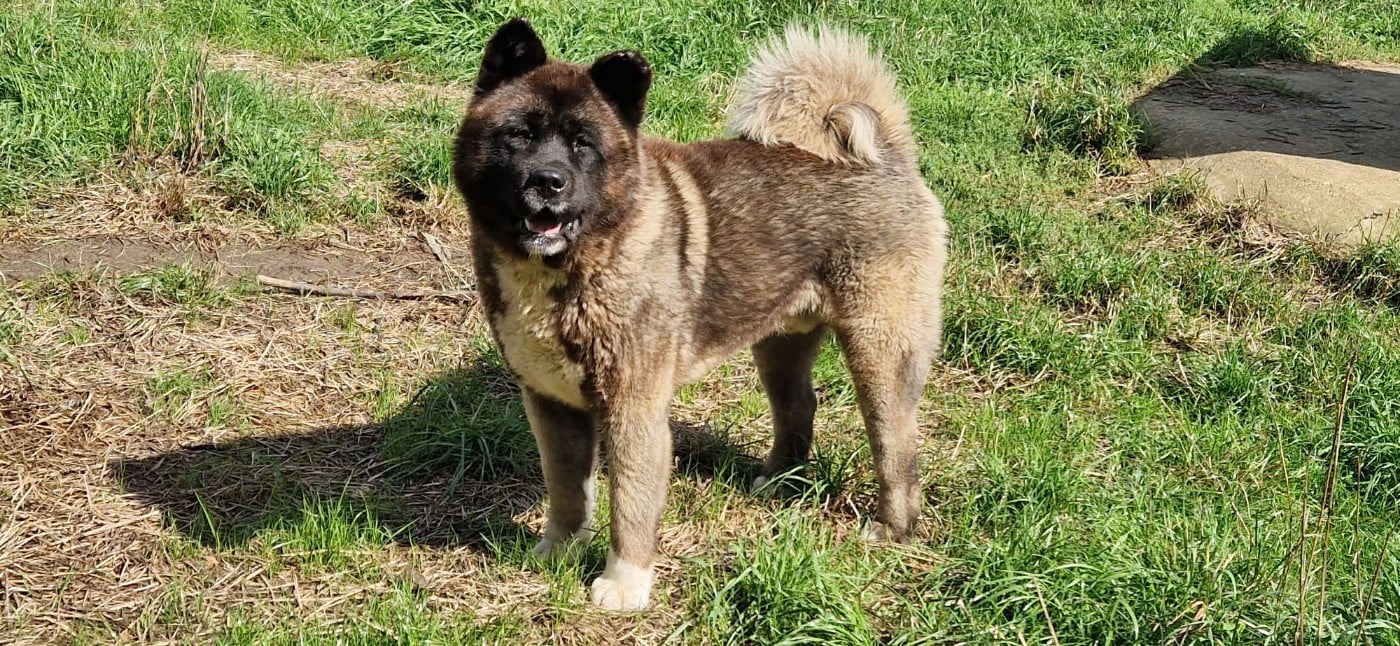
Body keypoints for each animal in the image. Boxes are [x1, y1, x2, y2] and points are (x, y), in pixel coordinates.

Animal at [452, 18, 946, 610]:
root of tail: (887, 157)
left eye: (583, 145)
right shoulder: (553, 403)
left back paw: (892, 529)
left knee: (897, 446)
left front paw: (626, 584)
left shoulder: (633, 409)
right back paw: (780, 482)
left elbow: (630, 505)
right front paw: (560, 551)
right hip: (780, 342)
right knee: (799, 405)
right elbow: (568, 491)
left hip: (880, 352)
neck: (578, 264)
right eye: (520, 135)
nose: (548, 181)